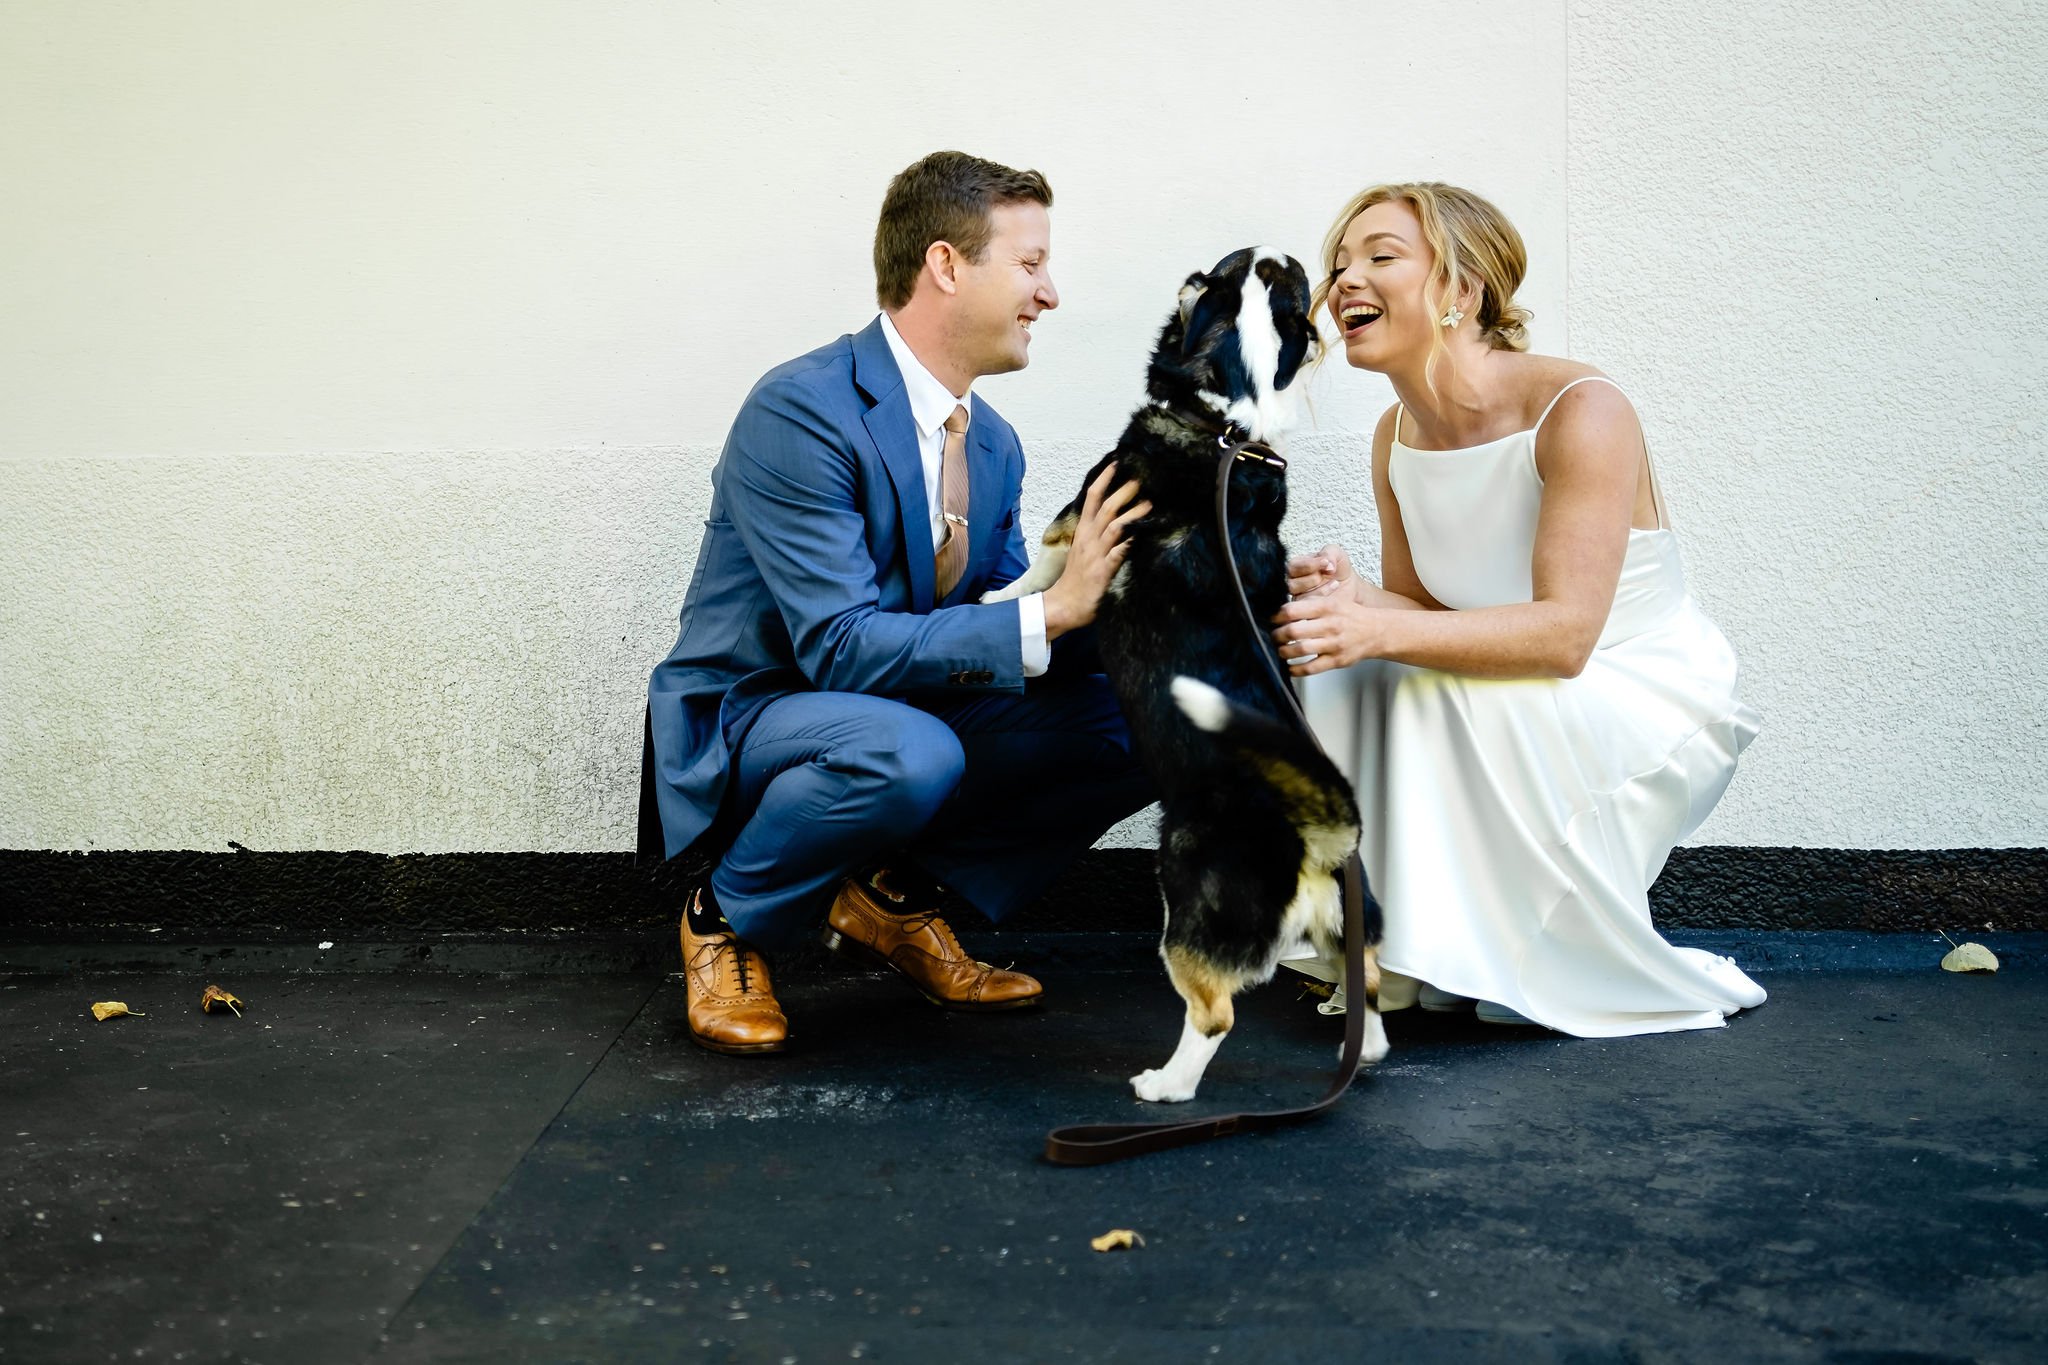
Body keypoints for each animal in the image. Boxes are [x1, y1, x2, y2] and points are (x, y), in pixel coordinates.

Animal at [978, 242, 1392, 1096]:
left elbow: (1036, 573)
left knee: (1213, 1015)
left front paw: (996, 596)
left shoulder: (1081, 517)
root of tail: (1319, 837)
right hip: (1350, 926)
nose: (1272, 251)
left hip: (1187, 910)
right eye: (1278, 284)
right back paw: (1357, 1039)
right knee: (1368, 992)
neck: (1231, 425)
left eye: (1228, 277)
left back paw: (1164, 1084)